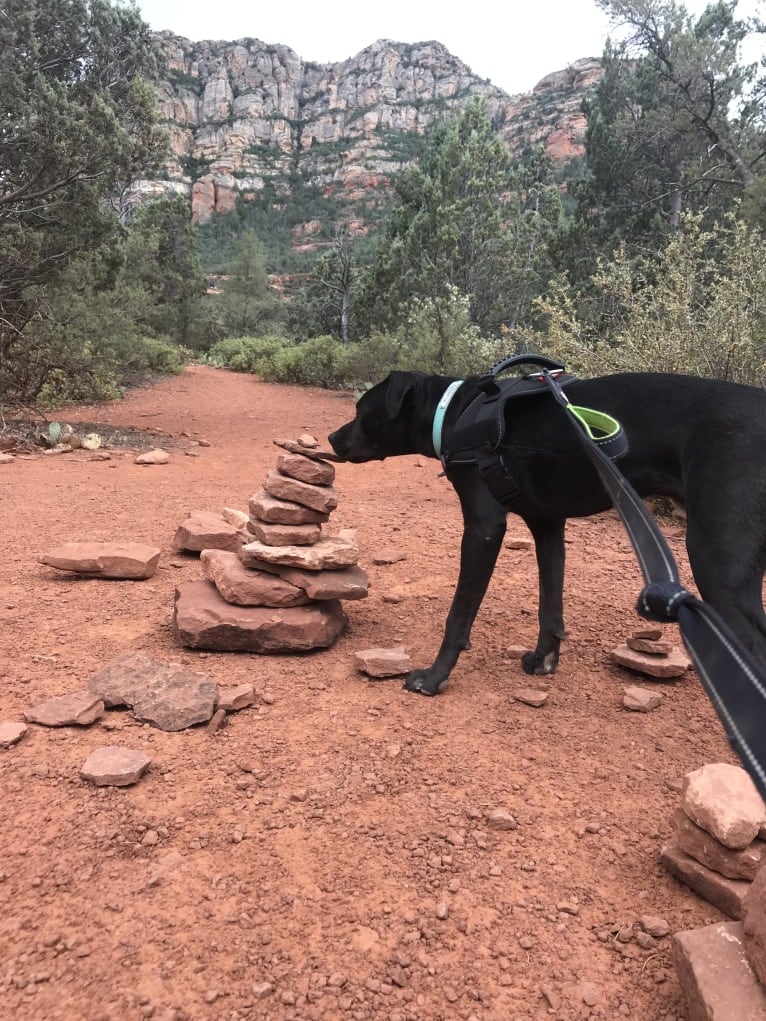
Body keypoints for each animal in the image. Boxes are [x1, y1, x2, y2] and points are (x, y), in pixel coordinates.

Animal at [330, 367, 766, 694]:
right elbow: (549, 605)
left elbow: (458, 616)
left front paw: (433, 678)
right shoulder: (548, 525)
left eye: (361, 409)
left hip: (716, 562)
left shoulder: (484, 526)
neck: (452, 411)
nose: (333, 437)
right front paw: (543, 660)